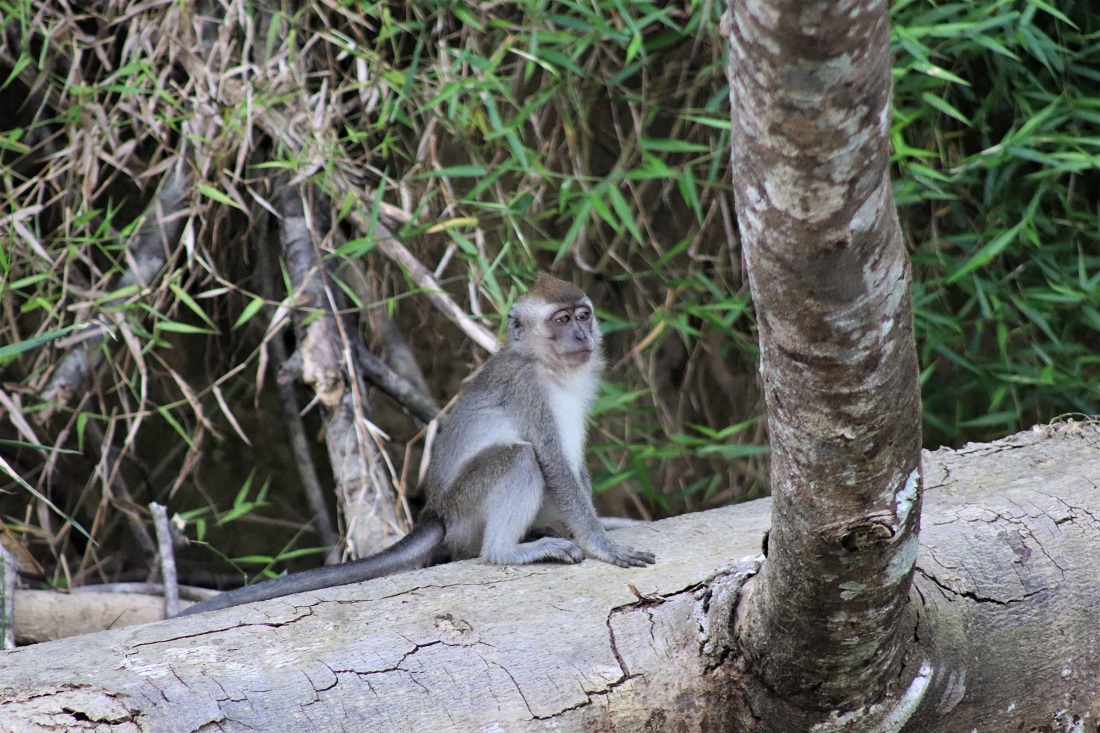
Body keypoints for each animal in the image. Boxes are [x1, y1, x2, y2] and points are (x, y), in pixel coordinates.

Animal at [179, 273, 655, 615]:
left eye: (583, 315)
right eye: (562, 320)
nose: (582, 336)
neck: (548, 366)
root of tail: (436, 513)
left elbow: (573, 468)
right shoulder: (527, 390)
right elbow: (553, 464)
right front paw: (603, 544)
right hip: (465, 510)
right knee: (519, 458)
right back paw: (506, 552)